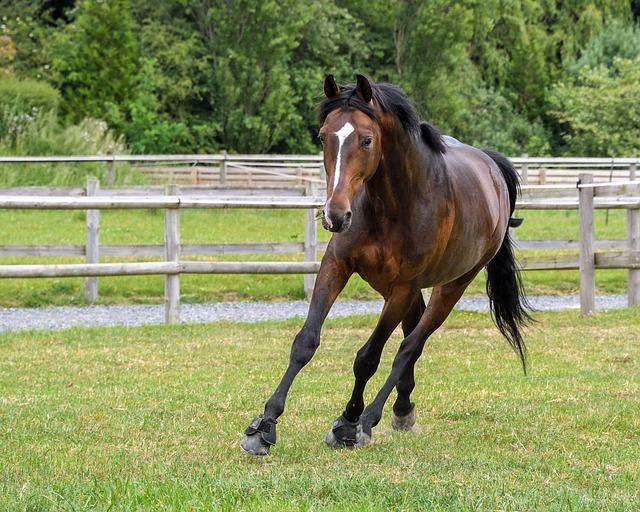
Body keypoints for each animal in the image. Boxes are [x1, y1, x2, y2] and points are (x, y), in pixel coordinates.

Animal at [240, 73, 528, 456]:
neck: (393, 203)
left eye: (366, 139)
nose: (335, 215)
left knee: (411, 346)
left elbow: (368, 358)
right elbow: (305, 342)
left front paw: (349, 423)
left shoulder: (403, 286)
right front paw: (264, 426)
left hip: (450, 286)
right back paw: (402, 407)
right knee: (410, 335)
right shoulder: (337, 265)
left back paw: (371, 417)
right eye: (323, 136)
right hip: (394, 287)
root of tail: (492, 169)